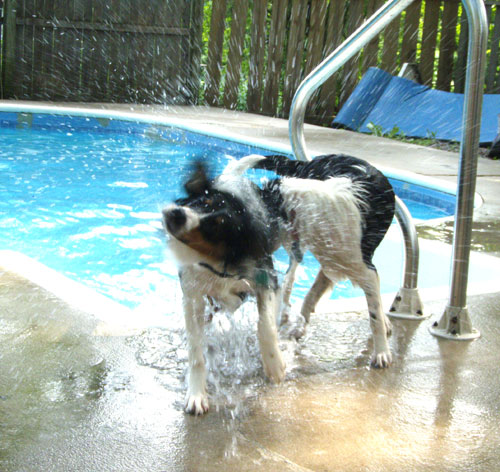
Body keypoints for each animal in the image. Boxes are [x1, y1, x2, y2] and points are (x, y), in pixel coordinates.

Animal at [162, 154, 396, 412]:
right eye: (200, 201)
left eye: (218, 224)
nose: (176, 213)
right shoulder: (194, 294)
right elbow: (197, 352)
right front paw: (196, 394)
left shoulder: (269, 279)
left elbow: (265, 325)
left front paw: (274, 365)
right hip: (312, 254)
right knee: (307, 283)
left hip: (339, 258)